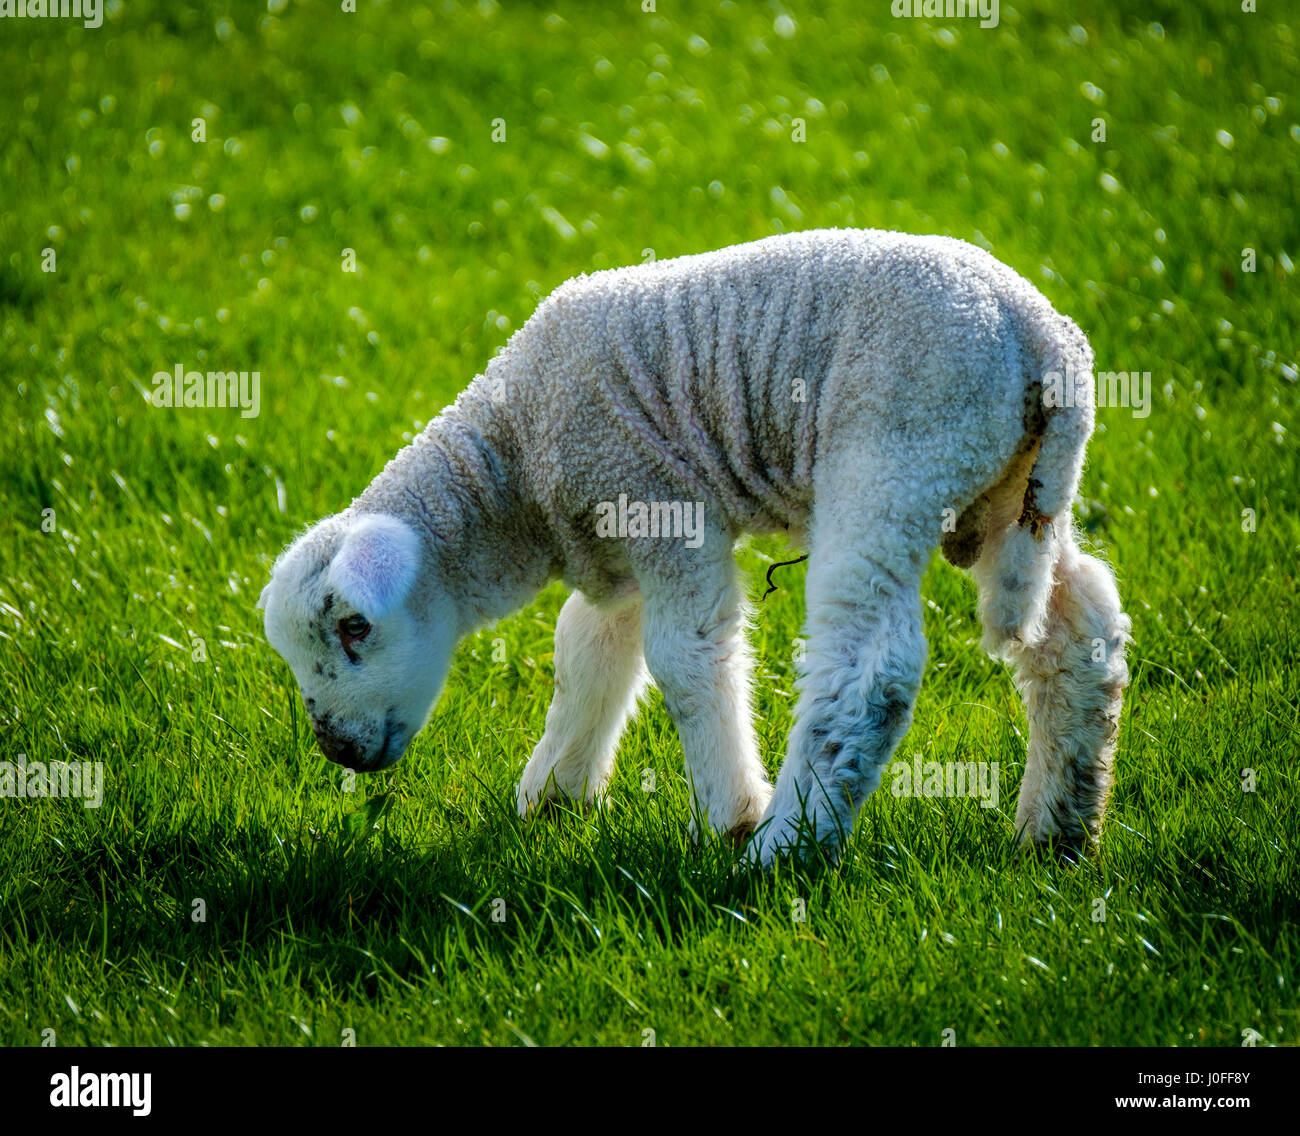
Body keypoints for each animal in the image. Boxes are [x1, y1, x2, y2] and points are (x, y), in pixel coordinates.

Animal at [259, 227, 1130, 865]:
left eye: (355, 629)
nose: (336, 749)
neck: (514, 462)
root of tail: (1045, 340)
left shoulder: (659, 503)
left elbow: (684, 656)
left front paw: (730, 815)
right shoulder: (616, 542)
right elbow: (590, 650)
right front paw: (557, 794)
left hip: (899, 457)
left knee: (868, 671)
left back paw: (785, 847)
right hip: (1011, 490)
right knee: (1079, 628)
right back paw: (1058, 828)